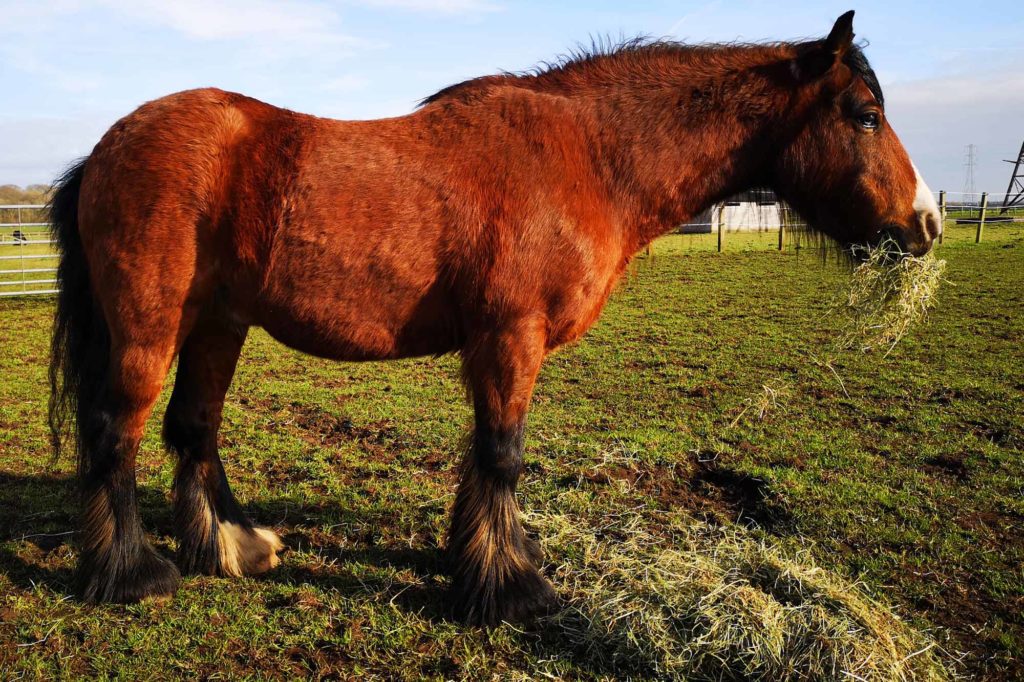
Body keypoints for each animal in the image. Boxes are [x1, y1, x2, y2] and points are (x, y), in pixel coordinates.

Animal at [49, 11, 937, 626]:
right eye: (864, 113)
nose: (926, 221)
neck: (586, 155)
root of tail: (107, 148)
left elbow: (488, 459)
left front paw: (486, 561)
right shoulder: (512, 338)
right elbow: (503, 455)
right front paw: (513, 588)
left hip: (217, 324)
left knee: (193, 427)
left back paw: (233, 548)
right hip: (150, 328)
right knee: (117, 432)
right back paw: (133, 574)